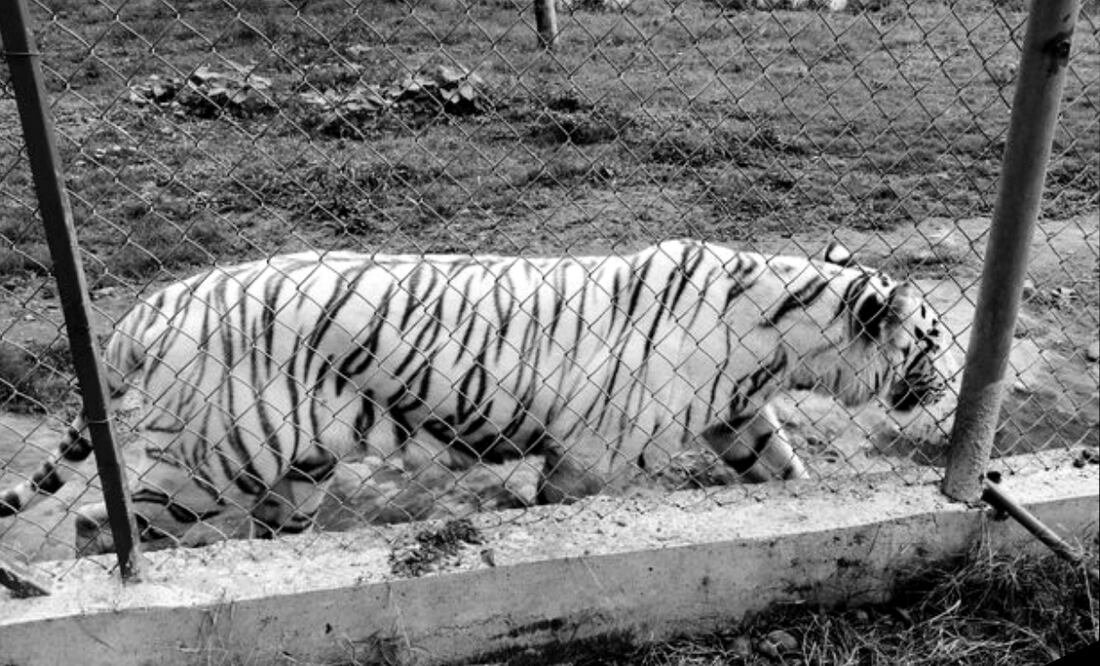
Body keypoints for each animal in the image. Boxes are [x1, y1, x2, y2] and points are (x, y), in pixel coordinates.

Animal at [0, 239, 950, 554]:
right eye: (935, 341)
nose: (949, 384)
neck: (782, 340)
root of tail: (150, 307)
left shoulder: (737, 414)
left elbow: (782, 471)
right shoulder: (592, 456)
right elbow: (563, 508)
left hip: (294, 466)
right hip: (214, 459)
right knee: (100, 526)